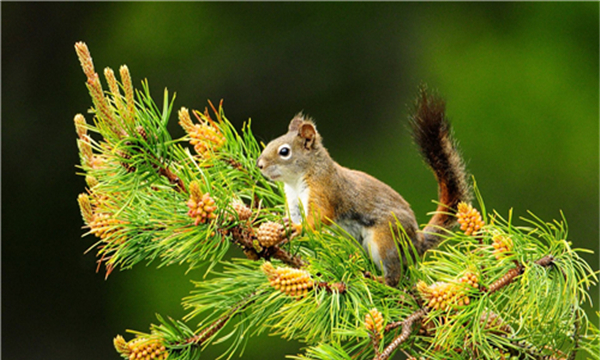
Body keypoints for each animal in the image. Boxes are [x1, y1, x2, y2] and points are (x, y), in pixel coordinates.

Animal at [255, 87, 472, 286]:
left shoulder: (324, 190)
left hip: (385, 238)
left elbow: (320, 215)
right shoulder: (293, 201)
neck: (297, 181)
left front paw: (299, 228)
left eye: (284, 152)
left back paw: (380, 280)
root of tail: (416, 242)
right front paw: (283, 224)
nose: (260, 165)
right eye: (272, 142)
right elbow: (294, 216)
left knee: (394, 273)